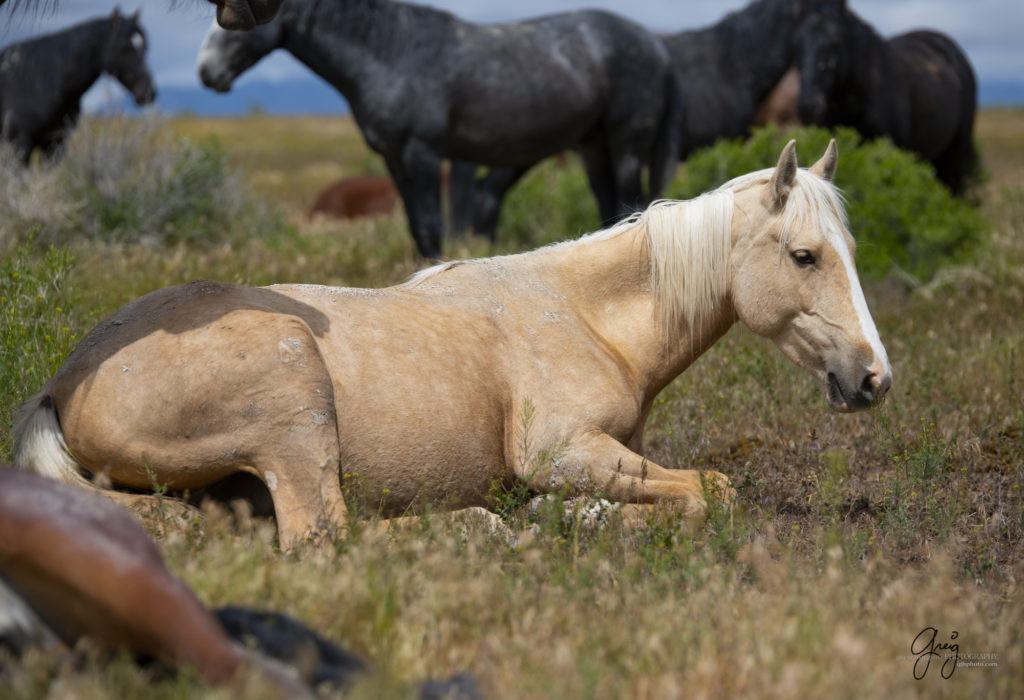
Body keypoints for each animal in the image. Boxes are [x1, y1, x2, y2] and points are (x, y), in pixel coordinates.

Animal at [12, 141, 888, 548]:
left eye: (850, 247)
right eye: (804, 256)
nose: (874, 379)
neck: (585, 317)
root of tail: (63, 383)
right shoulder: (566, 452)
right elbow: (713, 491)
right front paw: (575, 516)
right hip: (295, 405)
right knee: (323, 532)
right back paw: (480, 525)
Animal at [198, 0, 679, 257]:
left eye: (243, 18)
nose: (206, 72)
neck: (392, 53)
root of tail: (657, 47)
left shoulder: (423, 154)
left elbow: (432, 228)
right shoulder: (395, 160)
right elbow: (417, 229)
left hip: (627, 144)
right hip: (593, 146)